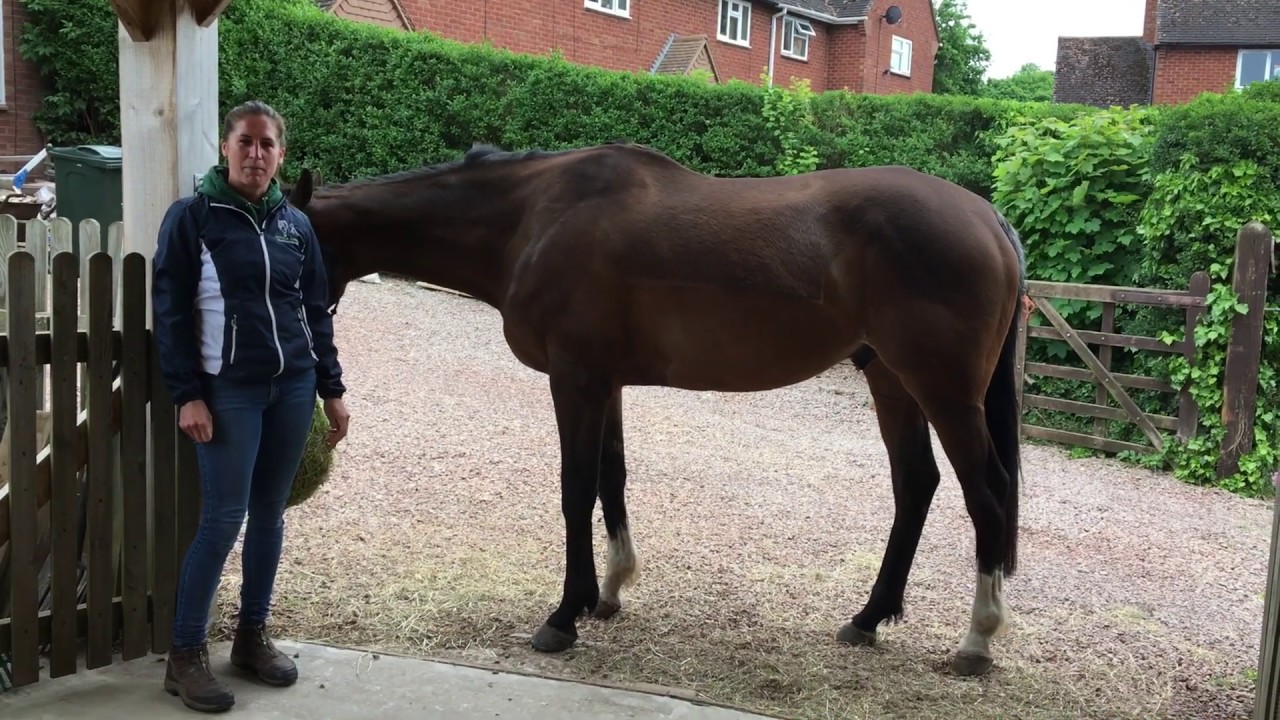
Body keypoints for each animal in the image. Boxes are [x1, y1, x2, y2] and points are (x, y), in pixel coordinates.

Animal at [287, 140, 1027, 677]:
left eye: (295, 246)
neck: (533, 218)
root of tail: (988, 218)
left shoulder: (575, 380)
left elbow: (575, 488)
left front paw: (563, 615)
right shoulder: (604, 383)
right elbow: (611, 480)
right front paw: (609, 593)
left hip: (943, 391)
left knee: (986, 495)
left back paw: (977, 642)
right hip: (892, 382)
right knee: (916, 485)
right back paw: (868, 619)